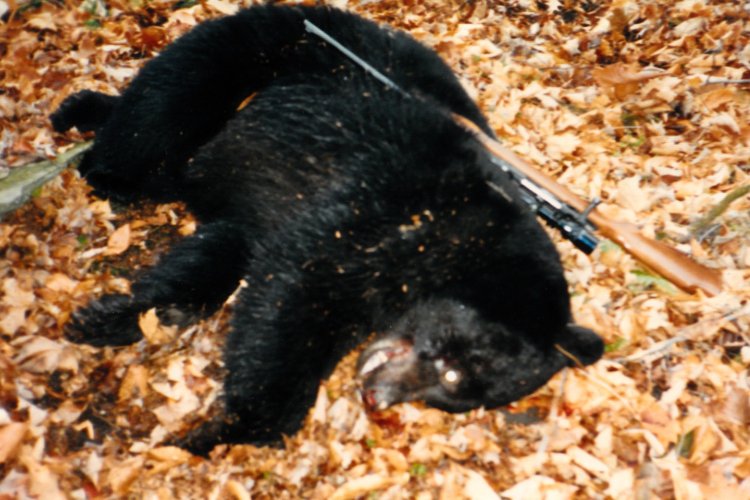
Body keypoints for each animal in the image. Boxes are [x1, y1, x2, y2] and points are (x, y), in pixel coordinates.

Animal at [51, 4, 604, 455]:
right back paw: (98, 153)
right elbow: (291, 302)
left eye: (453, 397)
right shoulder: (382, 209)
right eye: (451, 372)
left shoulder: (272, 217)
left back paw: (87, 113)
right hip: (261, 47)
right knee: (160, 108)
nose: (377, 397)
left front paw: (123, 314)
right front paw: (228, 431)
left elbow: (218, 261)